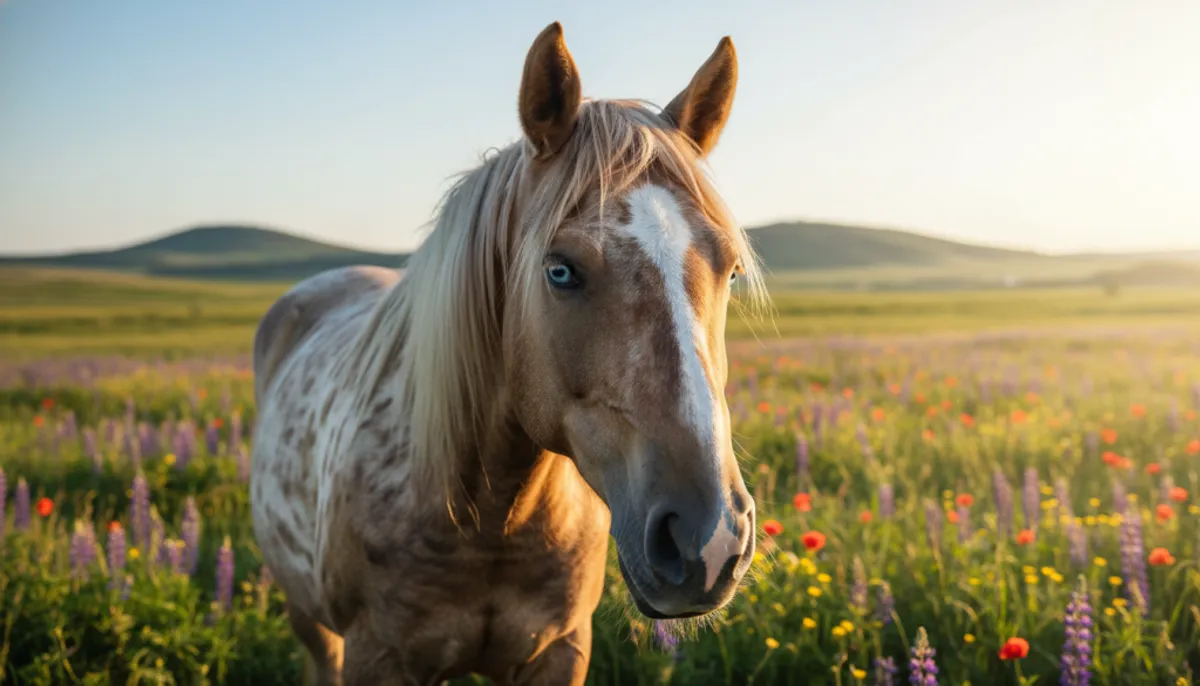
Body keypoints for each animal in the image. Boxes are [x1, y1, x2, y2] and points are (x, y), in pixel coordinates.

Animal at [249, 21, 767, 685]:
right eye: (561, 269)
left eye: (730, 272)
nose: (708, 540)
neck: (495, 518)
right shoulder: (377, 655)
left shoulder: (560, 650)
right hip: (308, 617)